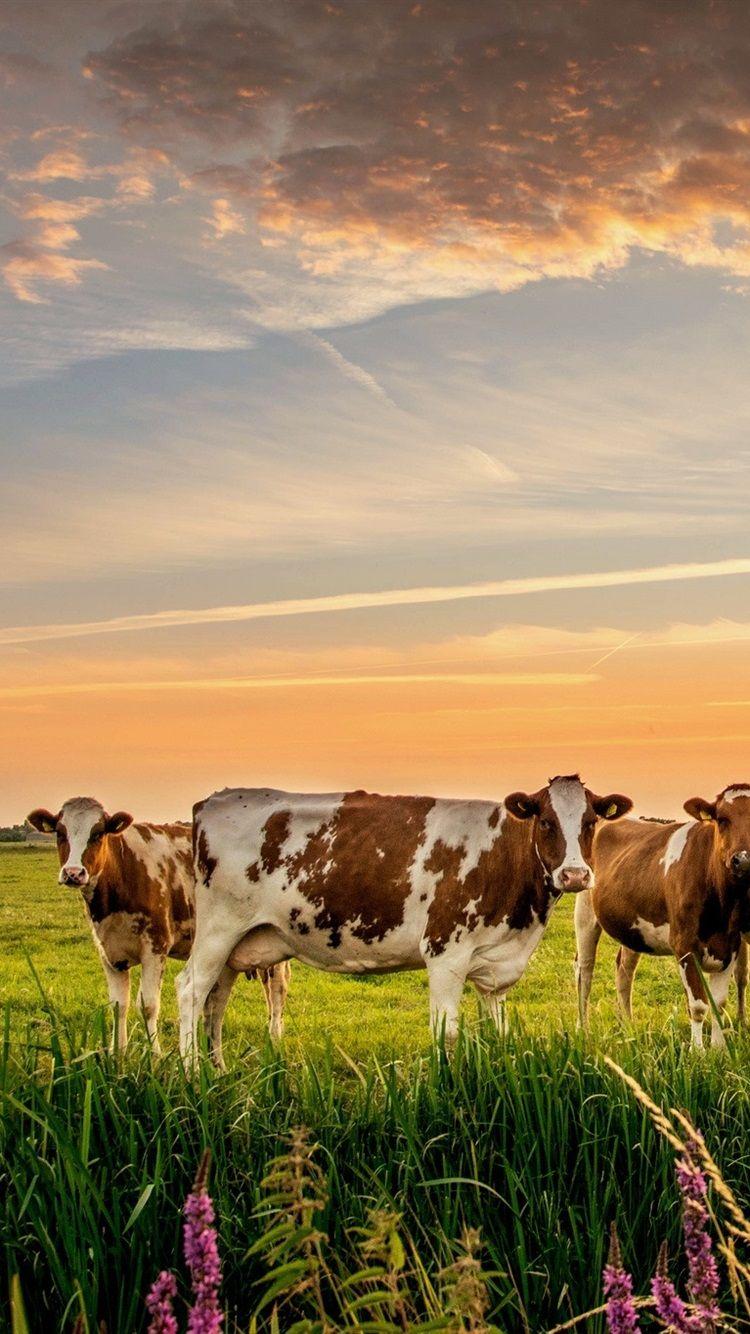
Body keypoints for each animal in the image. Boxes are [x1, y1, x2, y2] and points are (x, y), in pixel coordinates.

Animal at [26, 797, 290, 1063]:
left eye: (98, 833)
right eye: (60, 833)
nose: (73, 873)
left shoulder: (155, 945)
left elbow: (148, 1005)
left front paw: (155, 1056)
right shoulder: (108, 952)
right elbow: (118, 1005)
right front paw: (117, 1055)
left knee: (276, 988)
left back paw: (275, 1037)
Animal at [177, 776, 632, 1058]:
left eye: (590, 821)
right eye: (547, 821)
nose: (575, 875)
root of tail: (213, 800)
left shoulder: (495, 965)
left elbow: (498, 1033)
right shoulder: (445, 953)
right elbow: (447, 1033)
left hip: (239, 945)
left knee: (215, 1001)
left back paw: (218, 1074)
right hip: (218, 930)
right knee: (191, 990)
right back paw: (192, 1075)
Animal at [574, 785, 750, 1046]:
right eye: (721, 819)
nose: (743, 860)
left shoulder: (731, 945)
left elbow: (719, 1003)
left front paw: (719, 1049)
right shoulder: (684, 945)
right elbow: (698, 1005)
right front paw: (698, 1052)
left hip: (633, 927)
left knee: (624, 969)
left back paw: (628, 1027)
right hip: (585, 912)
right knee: (584, 969)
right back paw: (583, 1031)